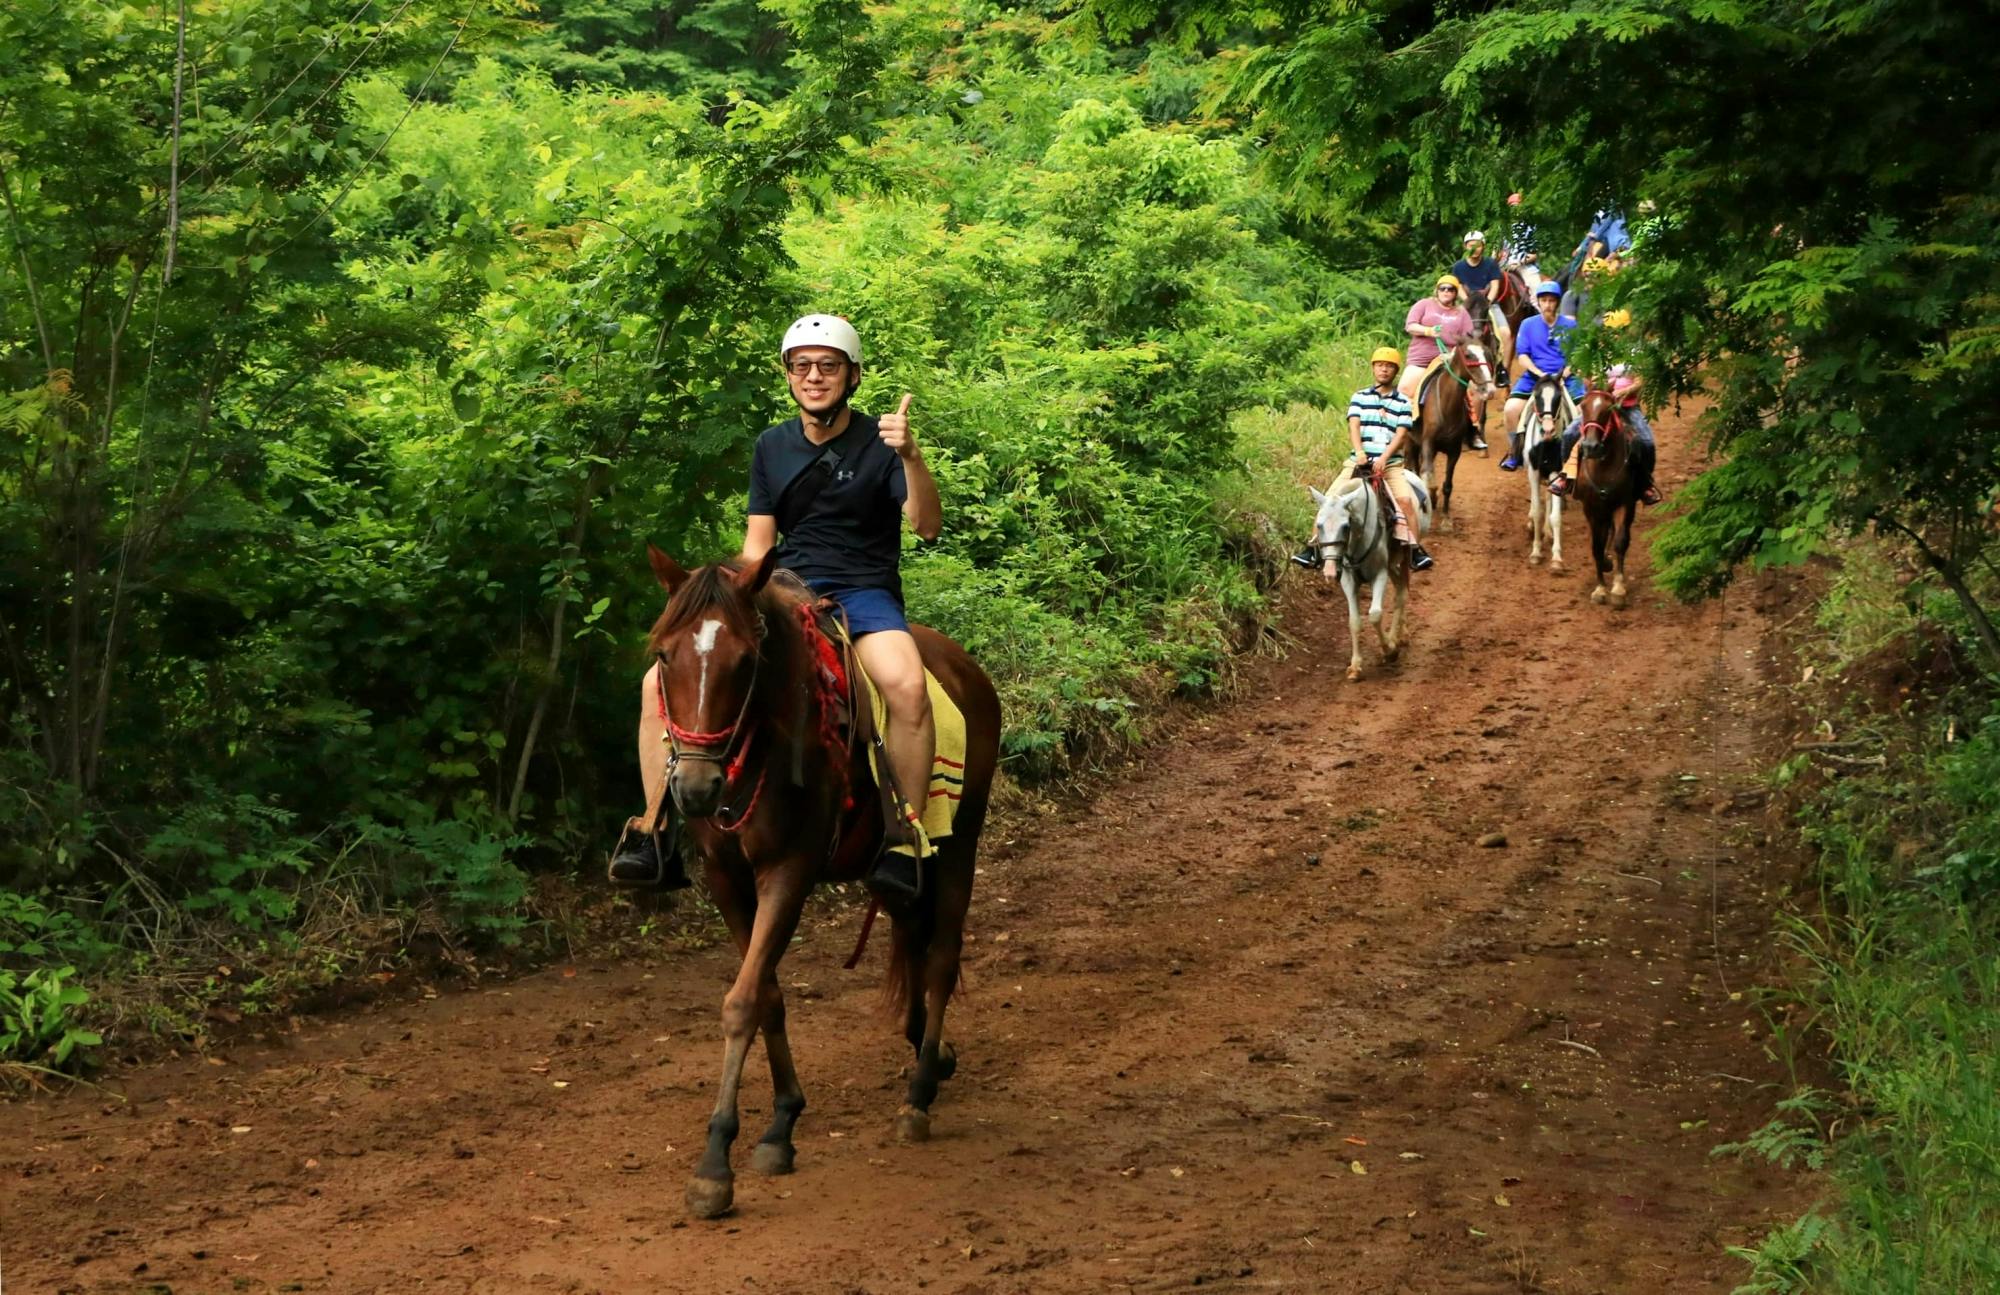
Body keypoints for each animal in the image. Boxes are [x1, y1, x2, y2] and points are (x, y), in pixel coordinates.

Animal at [644, 543, 1000, 1215]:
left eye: (745, 660)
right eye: (663, 655)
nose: (696, 788)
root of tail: (965, 665)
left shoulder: (790, 871)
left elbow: (742, 1001)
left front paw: (715, 1163)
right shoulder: (728, 879)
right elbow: (768, 996)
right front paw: (782, 1122)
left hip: (960, 842)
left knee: (941, 955)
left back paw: (918, 1096)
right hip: (893, 870)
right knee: (911, 937)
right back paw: (931, 1051)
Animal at [1304, 473, 1432, 679]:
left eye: (1345, 526)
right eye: (1319, 525)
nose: (1330, 571)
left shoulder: (1379, 574)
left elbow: (1375, 615)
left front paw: (1390, 650)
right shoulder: (1348, 579)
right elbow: (1354, 622)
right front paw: (1355, 666)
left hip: (1404, 557)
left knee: (1402, 594)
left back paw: (1397, 637)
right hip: (1392, 565)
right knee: (1399, 589)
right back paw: (1401, 634)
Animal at [1408, 339, 1504, 535]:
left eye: (1487, 354)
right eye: (1468, 355)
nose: (1490, 390)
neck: (1446, 405)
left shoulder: (1454, 451)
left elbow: (1447, 485)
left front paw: (1446, 520)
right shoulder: (1428, 443)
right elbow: (1428, 477)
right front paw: (1429, 503)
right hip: (1412, 443)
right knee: (1415, 467)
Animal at [1512, 377, 1576, 575]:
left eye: (1558, 398)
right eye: (1537, 396)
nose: (1548, 430)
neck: (1546, 444)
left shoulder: (1556, 470)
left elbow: (1555, 516)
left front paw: (1556, 559)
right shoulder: (1533, 471)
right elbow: (1537, 512)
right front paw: (1536, 552)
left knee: (1548, 499)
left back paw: (1547, 533)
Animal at [1576, 389, 1640, 607]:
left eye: (1608, 409)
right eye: (1583, 406)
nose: (1591, 446)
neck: (1603, 466)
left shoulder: (1625, 504)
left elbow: (1620, 541)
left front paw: (1618, 589)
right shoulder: (1590, 508)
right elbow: (1596, 546)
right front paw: (1600, 589)